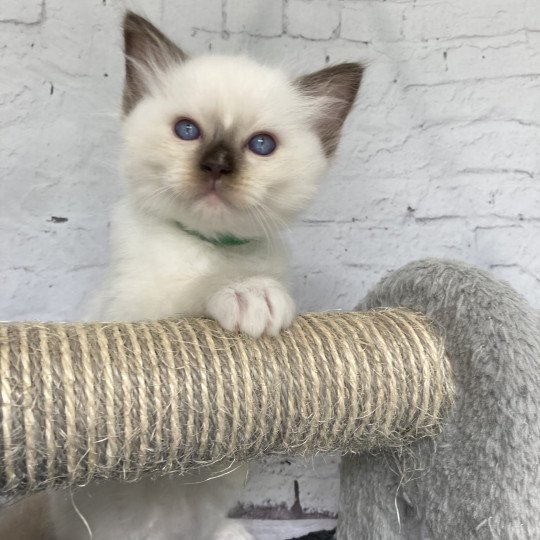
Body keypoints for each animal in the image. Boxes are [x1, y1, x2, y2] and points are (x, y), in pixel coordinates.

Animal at [44, 10, 360, 540]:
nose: (216, 166)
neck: (209, 247)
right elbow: (194, 291)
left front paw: (264, 294)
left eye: (261, 145)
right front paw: (248, 296)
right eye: (187, 131)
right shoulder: (128, 320)